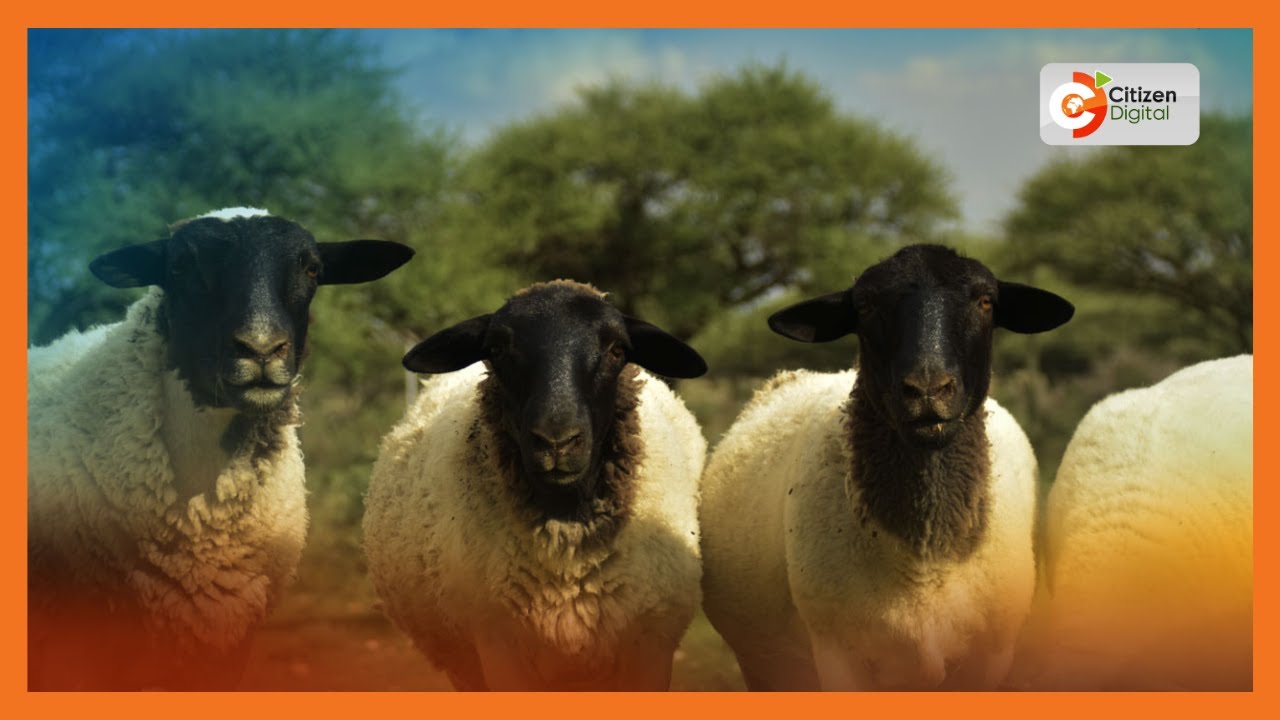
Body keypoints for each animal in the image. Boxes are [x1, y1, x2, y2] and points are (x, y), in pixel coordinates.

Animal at [699, 244, 1073, 690]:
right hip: (767, 664)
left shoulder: (991, 657)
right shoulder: (838, 656)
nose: (928, 389)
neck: (924, 562)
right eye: (865, 305)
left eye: (986, 302)